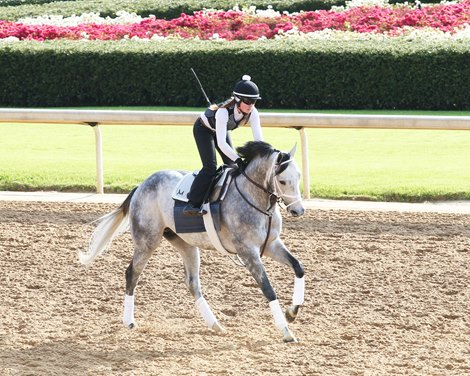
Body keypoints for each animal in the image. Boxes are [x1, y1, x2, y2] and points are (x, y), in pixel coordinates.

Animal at [79, 141, 306, 344]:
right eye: (283, 181)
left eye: (299, 177)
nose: (298, 211)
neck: (254, 199)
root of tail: (140, 186)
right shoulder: (247, 251)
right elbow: (268, 288)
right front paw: (286, 331)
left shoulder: (271, 245)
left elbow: (298, 267)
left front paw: (292, 312)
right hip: (147, 241)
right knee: (132, 274)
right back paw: (129, 321)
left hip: (186, 244)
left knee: (192, 283)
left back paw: (215, 324)